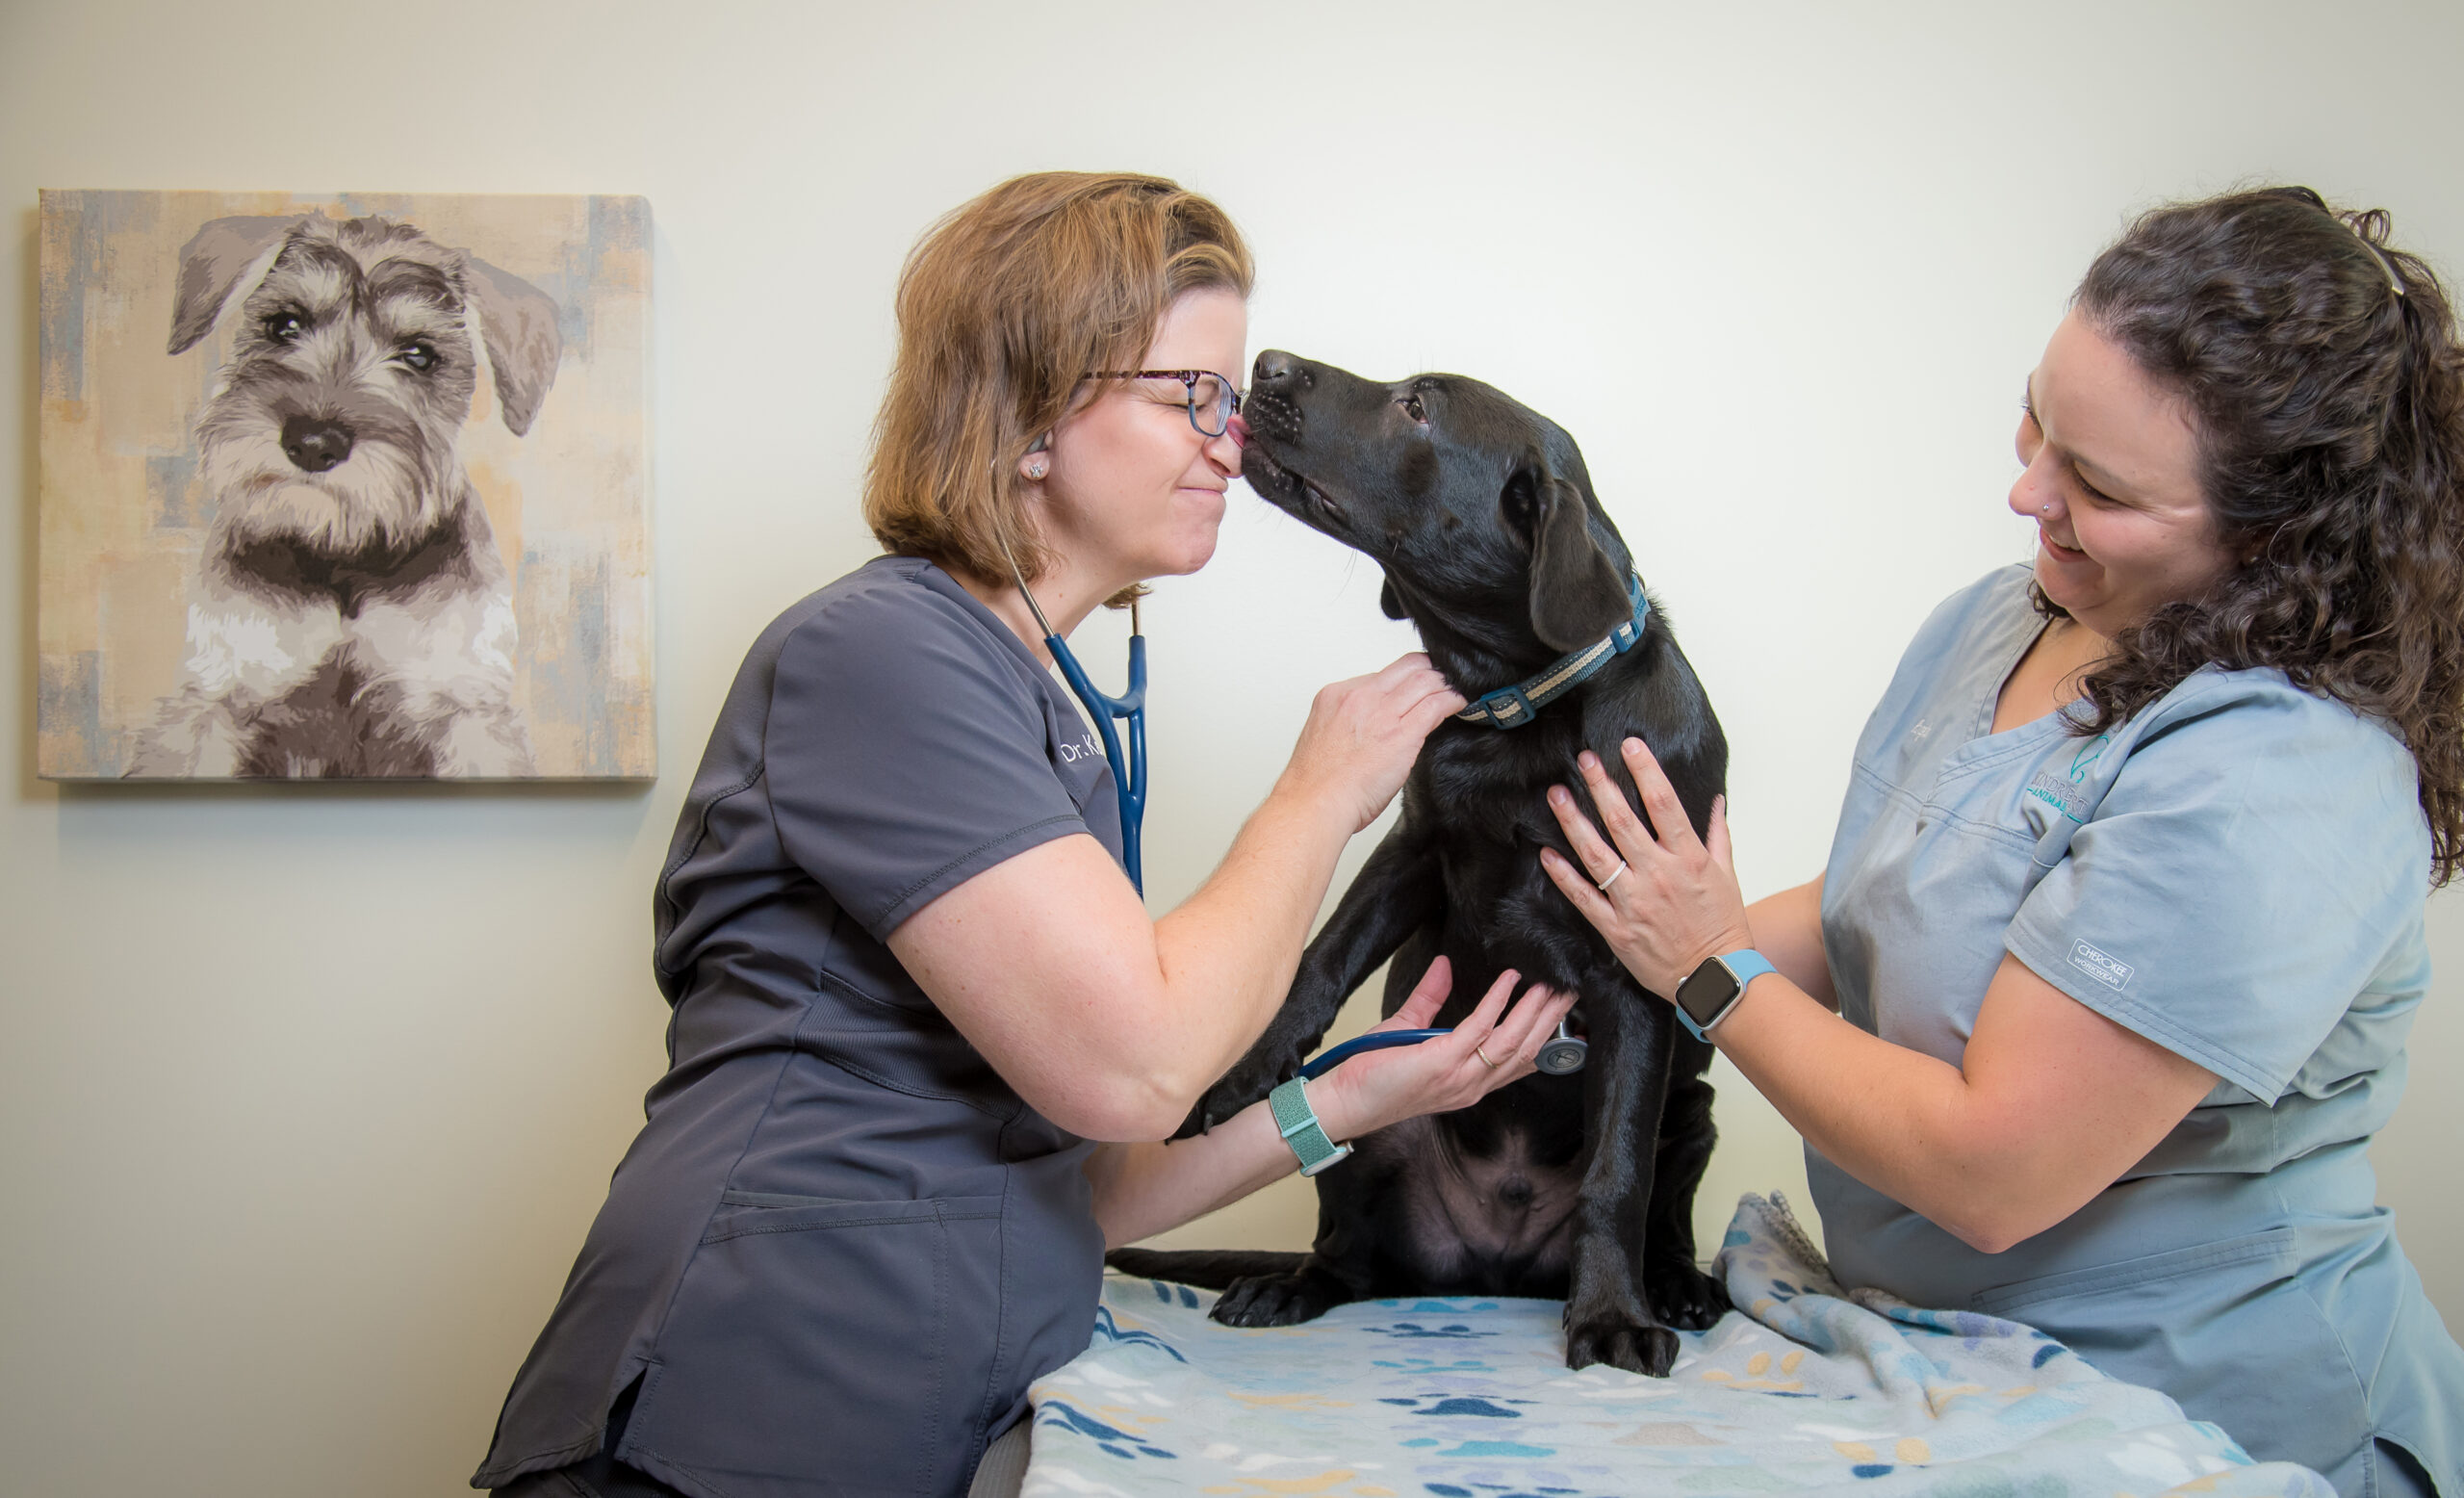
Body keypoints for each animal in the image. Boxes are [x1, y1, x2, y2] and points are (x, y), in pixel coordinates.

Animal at [1109, 354, 1725, 1380]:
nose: (1269, 363)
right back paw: (1288, 1284)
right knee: (1349, 1257)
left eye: (1417, 408)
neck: (1521, 712)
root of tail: (1492, 1272)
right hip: (1373, 1137)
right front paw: (1239, 1075)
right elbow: (1319, 962)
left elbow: (1620, 1171)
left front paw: (1611, 1317)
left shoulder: (1639, 951)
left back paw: (1678, 1287)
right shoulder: (1414, 848)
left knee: (1665, 1205)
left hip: (1699, 1105)